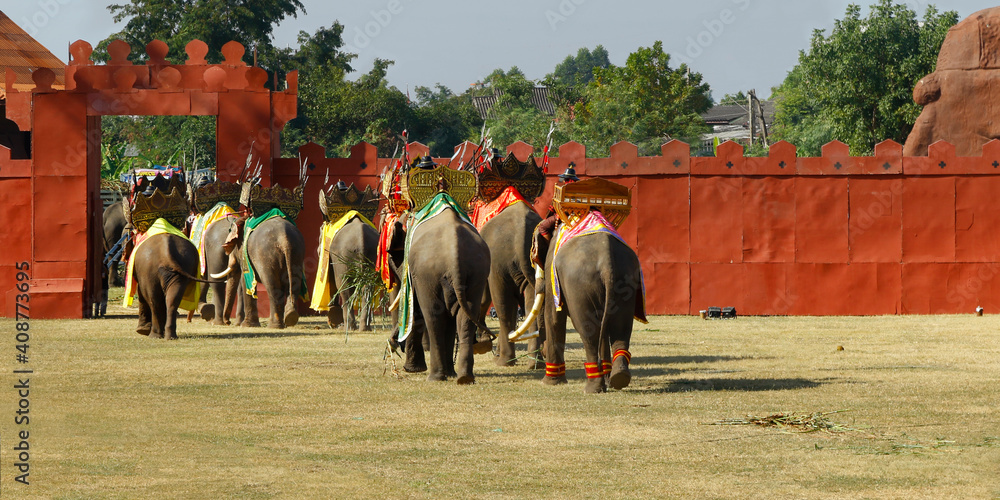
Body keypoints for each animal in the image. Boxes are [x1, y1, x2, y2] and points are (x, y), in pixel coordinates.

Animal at [387, 205, 492, 383]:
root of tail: (455, 251)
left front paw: (412, 370)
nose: (392, 342)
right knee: (465, 315)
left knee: (433, 316)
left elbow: (418, 311)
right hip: (477, 272)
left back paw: (435, 377)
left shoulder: (416, 275)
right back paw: (463, 377)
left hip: (428, 274)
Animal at [478, 202, 545, 368]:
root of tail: (521, 231)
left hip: (498, 264)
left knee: (503, 307)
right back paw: (535, 363)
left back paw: (503, 362)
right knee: (530, 305)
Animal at [540, 222, 644, 393]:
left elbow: (553, 316)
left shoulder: (551, 270)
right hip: (626, 277)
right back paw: (619, 377)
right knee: (620, 325)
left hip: (579, 285)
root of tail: (606, 259)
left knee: (588, 331)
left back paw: (592, 387)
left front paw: (550, 383)